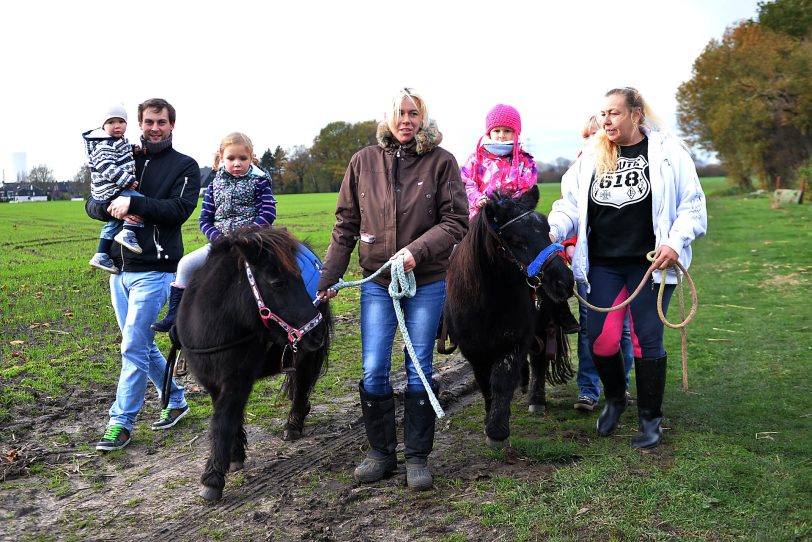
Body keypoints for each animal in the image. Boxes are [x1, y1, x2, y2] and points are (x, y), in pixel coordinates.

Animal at [173, 225, 332, 502]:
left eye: (301, 279)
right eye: (277, 282)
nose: (317, 331)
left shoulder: (238, 380)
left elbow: (223, 421)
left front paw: (212, 479)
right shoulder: (213, 383)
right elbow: (227, 417)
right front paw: (235, 455)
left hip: (306, 354)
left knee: (302, 384)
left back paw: (294, 425)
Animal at [444, 187, 576, 450]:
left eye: (546, 228)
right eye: (516, 241)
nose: (564, 282)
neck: (487, 299)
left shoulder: (514, 340)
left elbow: (502, 380)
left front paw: (497, 432)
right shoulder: (474, 350)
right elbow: (485, 382)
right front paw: (490, 419)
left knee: (538, 361)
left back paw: (536, 400)